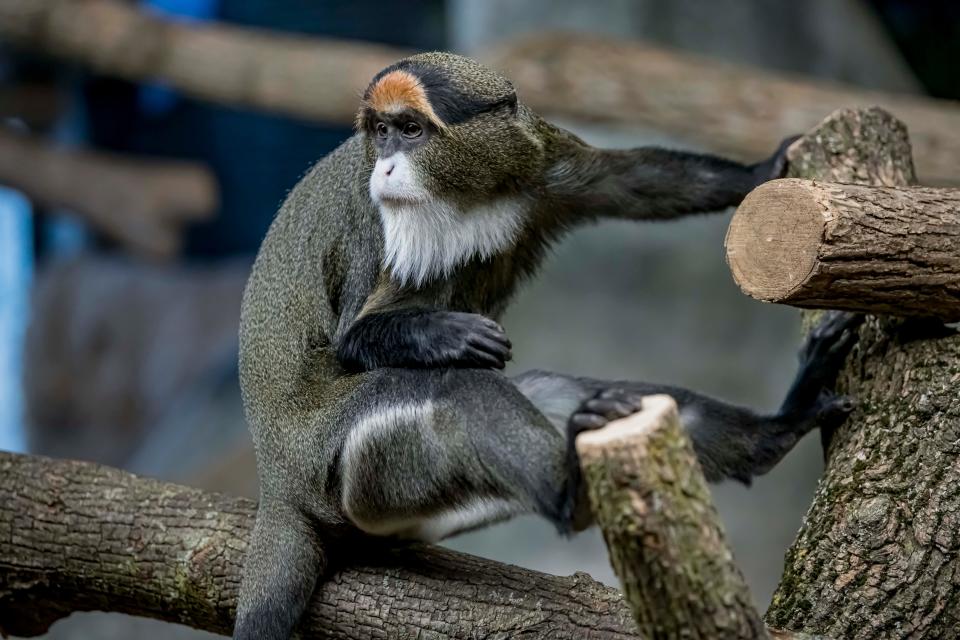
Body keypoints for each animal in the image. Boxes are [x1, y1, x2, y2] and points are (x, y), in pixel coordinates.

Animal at [234, 53, 864, 640]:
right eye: (381, 132)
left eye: (410, 130)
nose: (386, 167)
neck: (465, 191)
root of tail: (279, 483)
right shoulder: (375, 222)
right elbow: (353, 337)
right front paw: (453, 334)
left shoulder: (541, 159)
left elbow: (628, 181)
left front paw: (763, 168)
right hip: (345, 469)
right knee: (455, 389)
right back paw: (568, 492)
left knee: (556, 391)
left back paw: (773, 430)